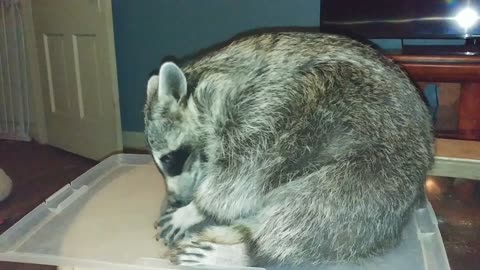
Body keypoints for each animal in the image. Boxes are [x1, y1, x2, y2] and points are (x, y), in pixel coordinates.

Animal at [143, 30, 436, 268]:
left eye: (169, 160)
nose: (175, 199)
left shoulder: (266, 113)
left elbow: (242, 181)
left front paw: (196, 209)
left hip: (379, 175)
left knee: (313, 212)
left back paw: (250, 252)